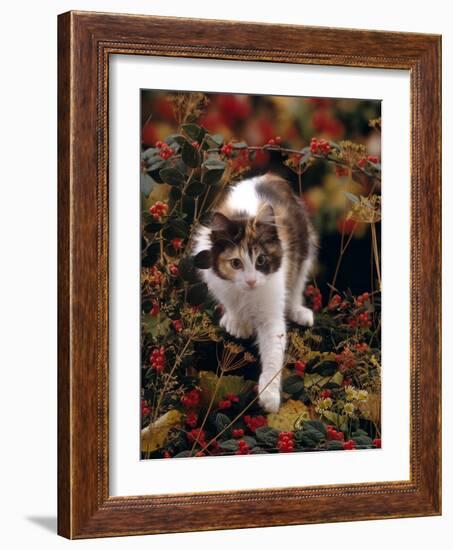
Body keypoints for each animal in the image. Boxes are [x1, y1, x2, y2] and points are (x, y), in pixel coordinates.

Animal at [192, 175, 316, 412]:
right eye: (236, 263)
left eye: (261, 260)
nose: (251, 281)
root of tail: (268, 176)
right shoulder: (216, 279)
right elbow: (230, 303)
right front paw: (237, 322)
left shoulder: (272, 312)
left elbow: (273, 354)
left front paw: (269, 395)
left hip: (304, 247)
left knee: (297, 284)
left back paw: (298, 310)